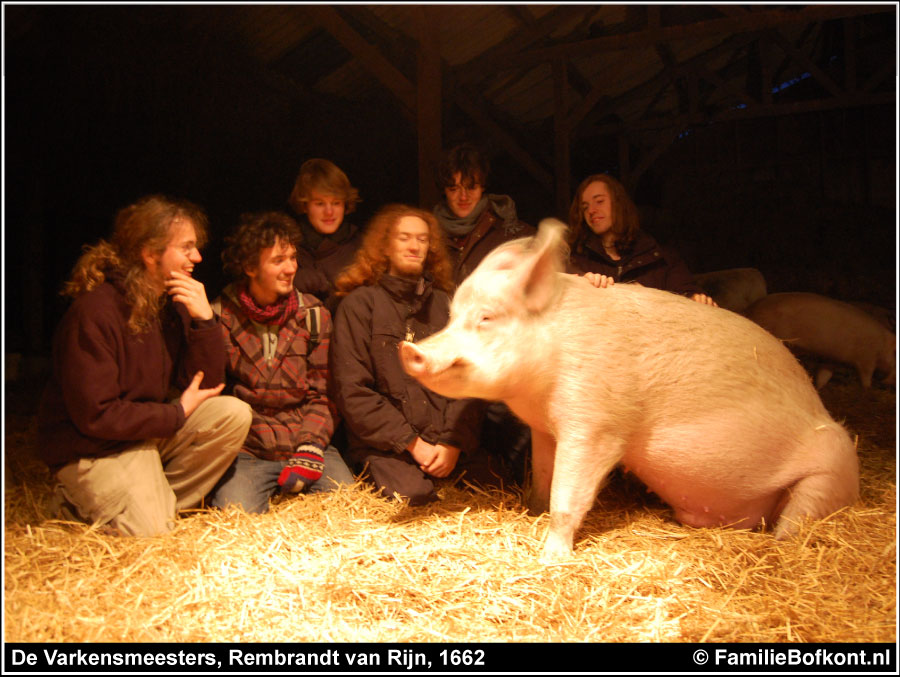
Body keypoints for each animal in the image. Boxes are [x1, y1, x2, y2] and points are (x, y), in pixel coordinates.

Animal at [400, 218, 856, 560]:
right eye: (453, 316)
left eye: (487, 318)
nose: (409, 350)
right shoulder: (546, 428)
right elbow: (543, 478)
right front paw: (531, 511)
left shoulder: (596, 426)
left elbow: (568, 495)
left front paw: (551, 557)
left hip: (828, 470)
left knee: (796, 520)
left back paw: (779, 545)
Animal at [744, 292, 892, 390]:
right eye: (895, 355)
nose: (887, 383)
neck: (883, 346)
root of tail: (751, 309)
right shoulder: (866, 357)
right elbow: (866, 376)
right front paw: (868, 388)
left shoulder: (832, 358)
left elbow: (825, 374)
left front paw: (819, 387)